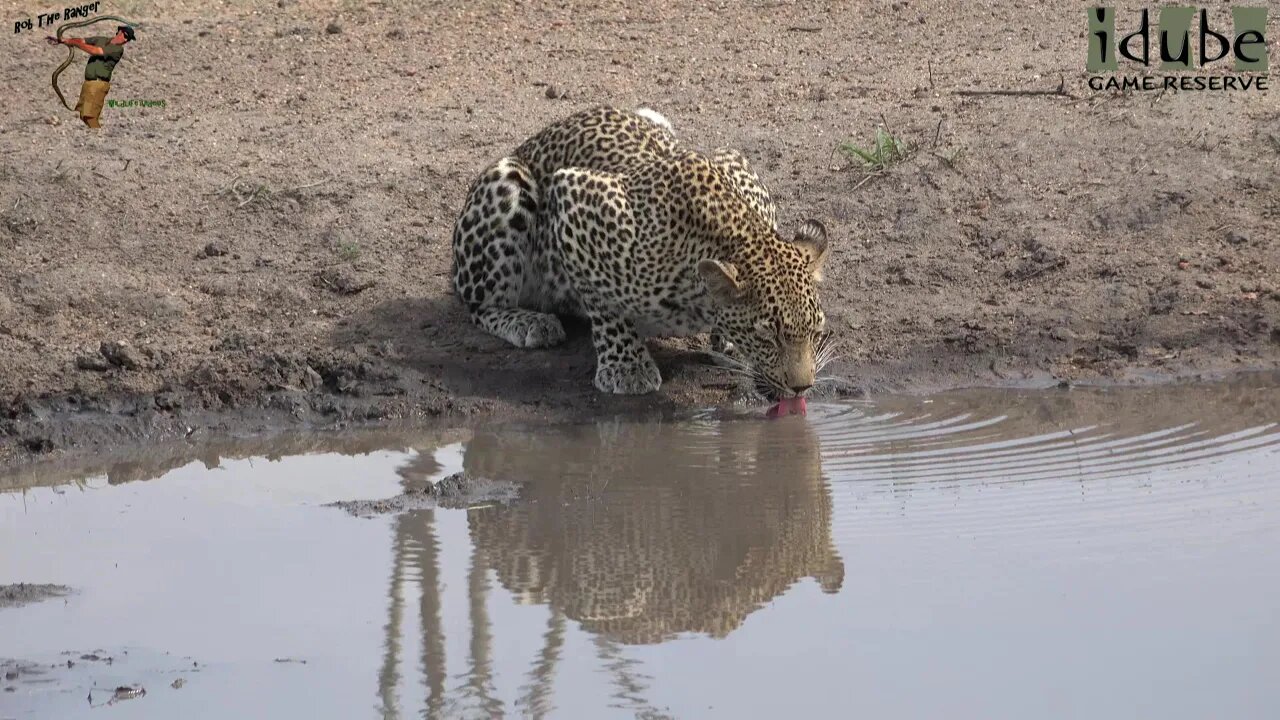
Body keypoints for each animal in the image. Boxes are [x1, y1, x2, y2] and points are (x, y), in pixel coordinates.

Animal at [450, 105, 829, 397]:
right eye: (767, 336)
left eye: (815, 332)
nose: (803, 388)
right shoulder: (576, 197)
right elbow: (603, 303)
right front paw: (627, 367)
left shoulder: (740, 168)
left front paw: (727, 343)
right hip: (507, 185)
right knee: (479, 304)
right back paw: (530, 322)